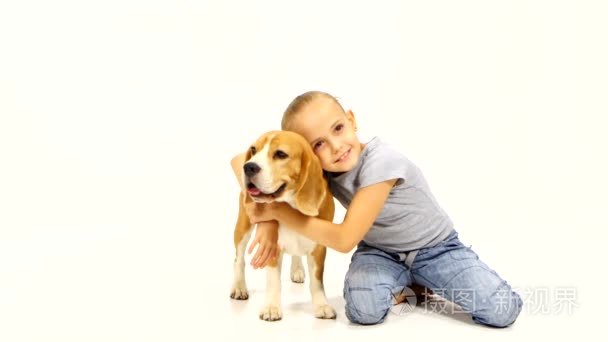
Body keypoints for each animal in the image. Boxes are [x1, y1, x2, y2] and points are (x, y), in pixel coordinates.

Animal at [230, 130, 338, 320]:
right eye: (254, 150)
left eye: (280, 154)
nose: (248, 167)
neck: (292, 208)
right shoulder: (272, 246)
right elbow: (273, 281)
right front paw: (271, 308)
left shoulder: (318, 248)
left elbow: (317, 281)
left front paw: (322, 305)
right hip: (243, 227)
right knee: (239, 259)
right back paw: (239, 287)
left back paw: (297, 269)